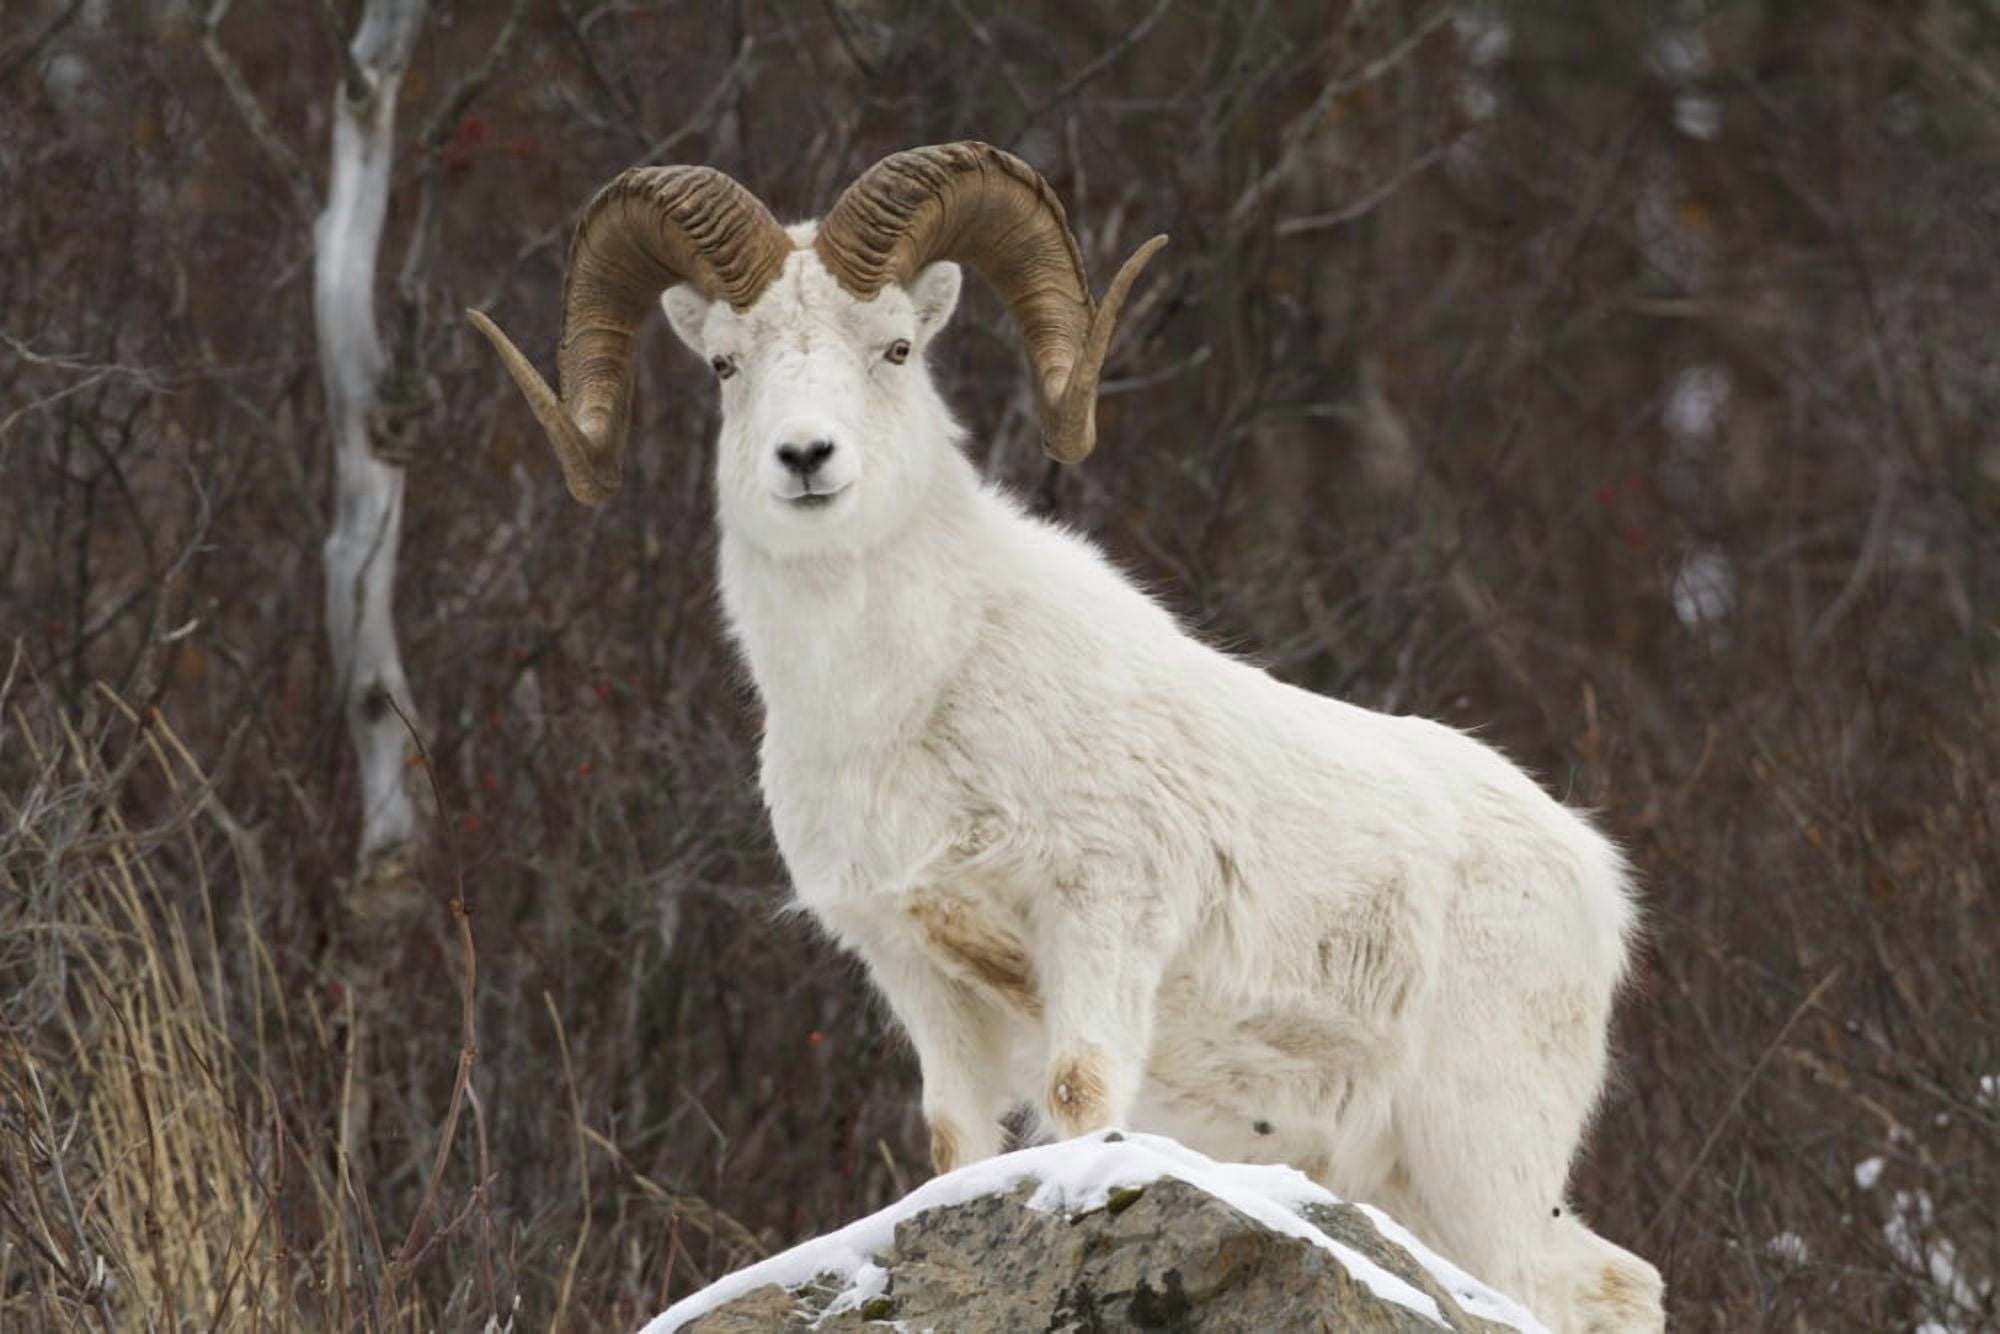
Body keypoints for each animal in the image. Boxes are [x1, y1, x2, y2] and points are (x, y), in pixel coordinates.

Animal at [469, 141, 1667, 1333]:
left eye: (894, 347)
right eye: (726, 364)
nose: (805, 458)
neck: (905, 700)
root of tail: (1592, 874)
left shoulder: (1099, 925)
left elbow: (1080, 1098)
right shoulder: (919, 971)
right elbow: (954, 1141)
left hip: (1481, 1148)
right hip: (1409, 1172)